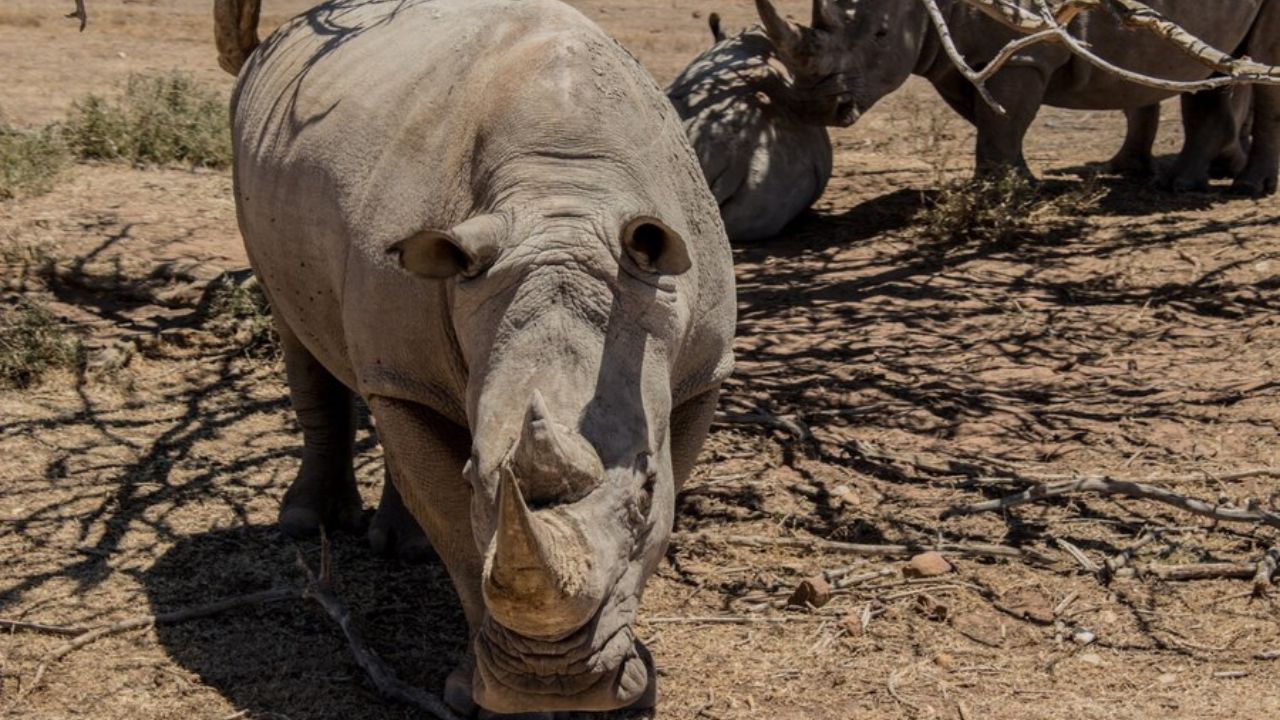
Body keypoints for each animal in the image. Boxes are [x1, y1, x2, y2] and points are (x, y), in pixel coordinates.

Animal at [225, 0, 737, 707]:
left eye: (645, 490)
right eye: (473, 482)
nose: (554, 682)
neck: (564, 206)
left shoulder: (700, 372)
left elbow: (662, 507)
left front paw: (629, 689)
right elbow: (457, 530)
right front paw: (475, 696)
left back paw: (401, 547)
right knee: (304, 336)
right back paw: (308, 524)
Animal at [752, 0, 1274, 194]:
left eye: (881, 34)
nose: (814, 109)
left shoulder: (1025, 52)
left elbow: (1002, 121)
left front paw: (1002, 194)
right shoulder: (956, 56)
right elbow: (994, 121)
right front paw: (1010, 183)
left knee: (1258, 62)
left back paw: (1235, 187)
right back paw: (1146, 174)